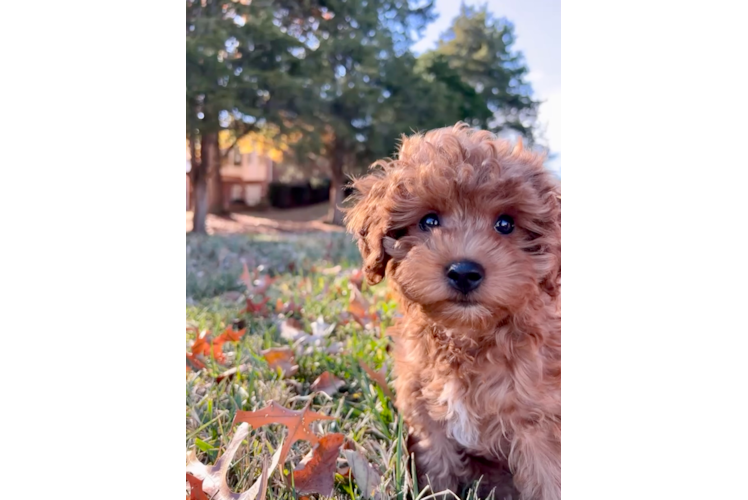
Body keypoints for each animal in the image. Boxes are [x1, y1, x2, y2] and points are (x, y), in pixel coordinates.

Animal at [342, 122, 560, 500]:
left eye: (505, 224)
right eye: (429, 221)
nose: (464, 272)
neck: (465, 336)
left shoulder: (535, 424)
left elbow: (545, 480)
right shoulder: (427, 417)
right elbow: (439, 472)